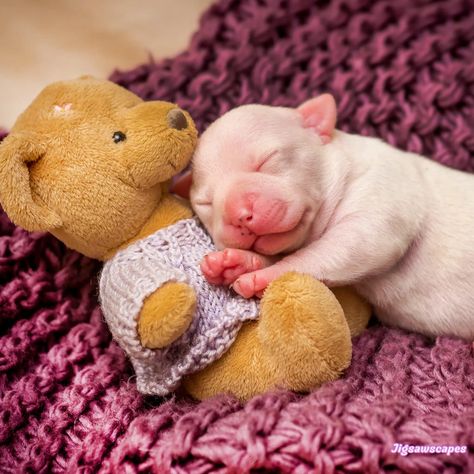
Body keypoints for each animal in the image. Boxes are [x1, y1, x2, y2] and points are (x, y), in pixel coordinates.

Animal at [190, 94, 474, 338]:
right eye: (206, 203)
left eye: (266, 160)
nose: (238, 215)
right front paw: (237, 263)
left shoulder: (382, 190)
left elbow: (343, 246)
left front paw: (262, 275)